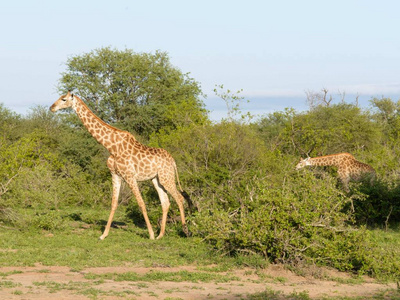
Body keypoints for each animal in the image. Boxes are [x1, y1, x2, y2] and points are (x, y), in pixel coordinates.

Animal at [50, 91, 191, 239]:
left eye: (64, 99)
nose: (51, 108)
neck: (111, 146)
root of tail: (173, 161)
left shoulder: (129, 176)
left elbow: (141, 203)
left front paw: (151, 235)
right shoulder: (115, 175)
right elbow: (113, 204)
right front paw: (104, 235)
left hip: (166, 176)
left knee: (180, 198)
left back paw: (185, 231)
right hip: (157, 179)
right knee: (165, 202)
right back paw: (161, 235)